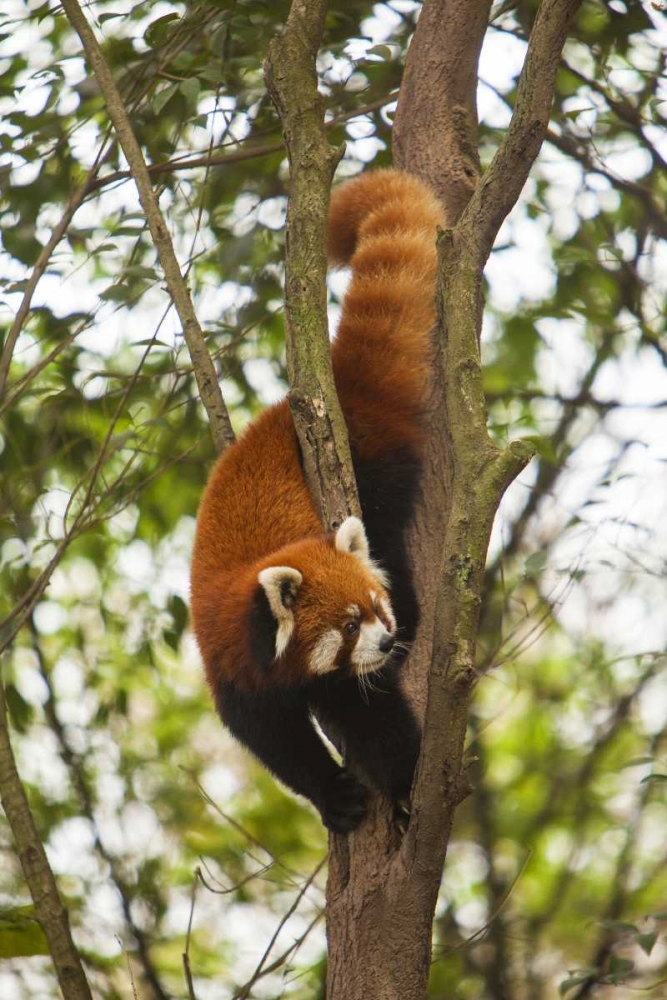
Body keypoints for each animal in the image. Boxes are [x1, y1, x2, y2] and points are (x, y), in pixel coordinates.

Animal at [192, 168, 444, 832]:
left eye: (375, 608)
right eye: (351, 624)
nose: (386, 639)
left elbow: (373, 715)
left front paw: (404, 785)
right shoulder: (235, 668)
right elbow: (274, 743)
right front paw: (334, 796)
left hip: (376, 472)